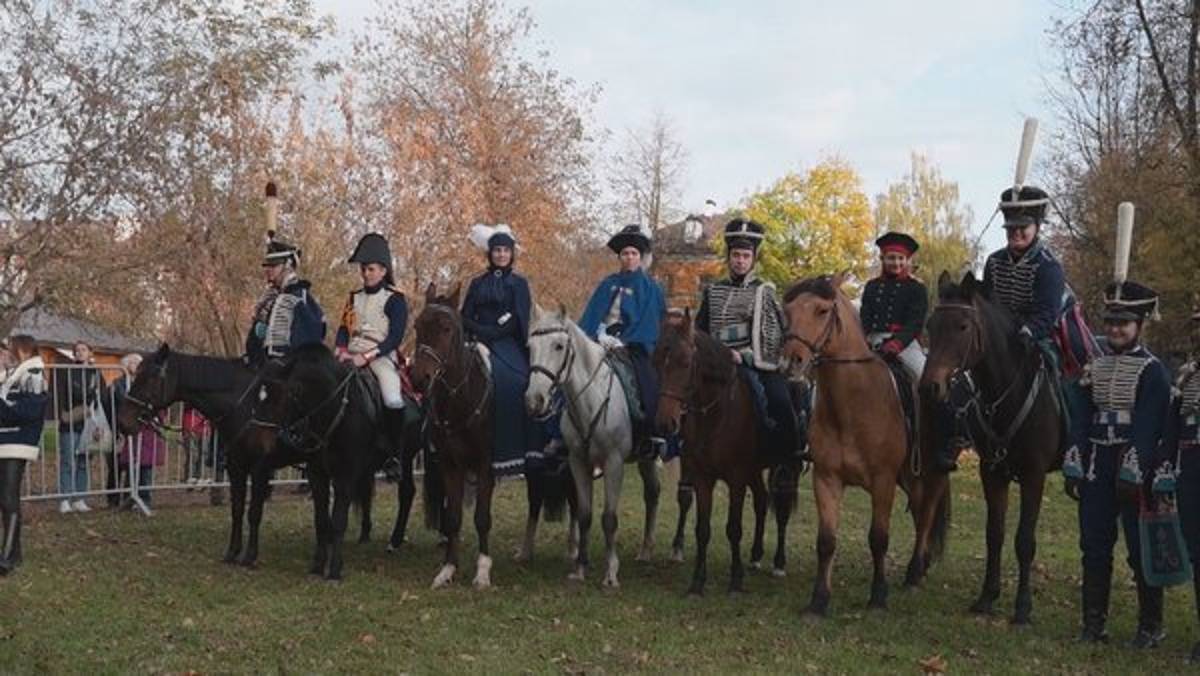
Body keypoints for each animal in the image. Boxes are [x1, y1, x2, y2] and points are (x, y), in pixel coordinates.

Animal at [411, 284, 573, 589]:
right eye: (417, 326)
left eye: (447, 328)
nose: (418, 378)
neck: (462, 398)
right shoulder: (450, 466)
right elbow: (452, 518)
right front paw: (448, 570)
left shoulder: (486, 466)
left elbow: (482, 518)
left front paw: (483, 571)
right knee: (535, 501)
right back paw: (525, 552)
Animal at [524, 305, 661, 588]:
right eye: (530, 346)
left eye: (559, 346)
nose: (534, 401)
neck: (590, 400)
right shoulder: (578, 462)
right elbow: (584, 514)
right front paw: (579, 568)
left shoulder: (614, 463)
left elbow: (609, 518)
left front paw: (611, 573)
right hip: (645, 458)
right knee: (652, 493)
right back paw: (645, 550)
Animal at [652, 312, 799, 595]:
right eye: (655, 360)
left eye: (685, 362)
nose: (665, 424)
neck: (715, 414)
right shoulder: (702, 477)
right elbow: (702, 528)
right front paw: (697, 582)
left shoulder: (736, 478)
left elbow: (733, 528)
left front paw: (735, 581)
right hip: (755, 469)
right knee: (762, 500)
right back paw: (755, 555)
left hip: (786, 467)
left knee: (782, 508)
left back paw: (778, 563)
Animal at [781, 273, 949, 616]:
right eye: (787, 311)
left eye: (822, 310)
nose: (792, 361)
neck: (853, 404)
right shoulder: (826, 479)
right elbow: (826, 541)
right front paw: (819, 600)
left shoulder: (882, 481)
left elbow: (879, 538)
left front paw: (878, 597)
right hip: (908, 477)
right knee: (919, 512)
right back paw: (919, 568)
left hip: (932, 474)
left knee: (926, 514)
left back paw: (915, 572)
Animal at [920, 271, 1063, 624]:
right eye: (930, 325)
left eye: (962, 326)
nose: (930, 387)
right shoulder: (992, 471)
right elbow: (994, 534)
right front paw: (987, 596)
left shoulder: (1034, 475)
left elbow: (1024, 540)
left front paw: (1023, 607)